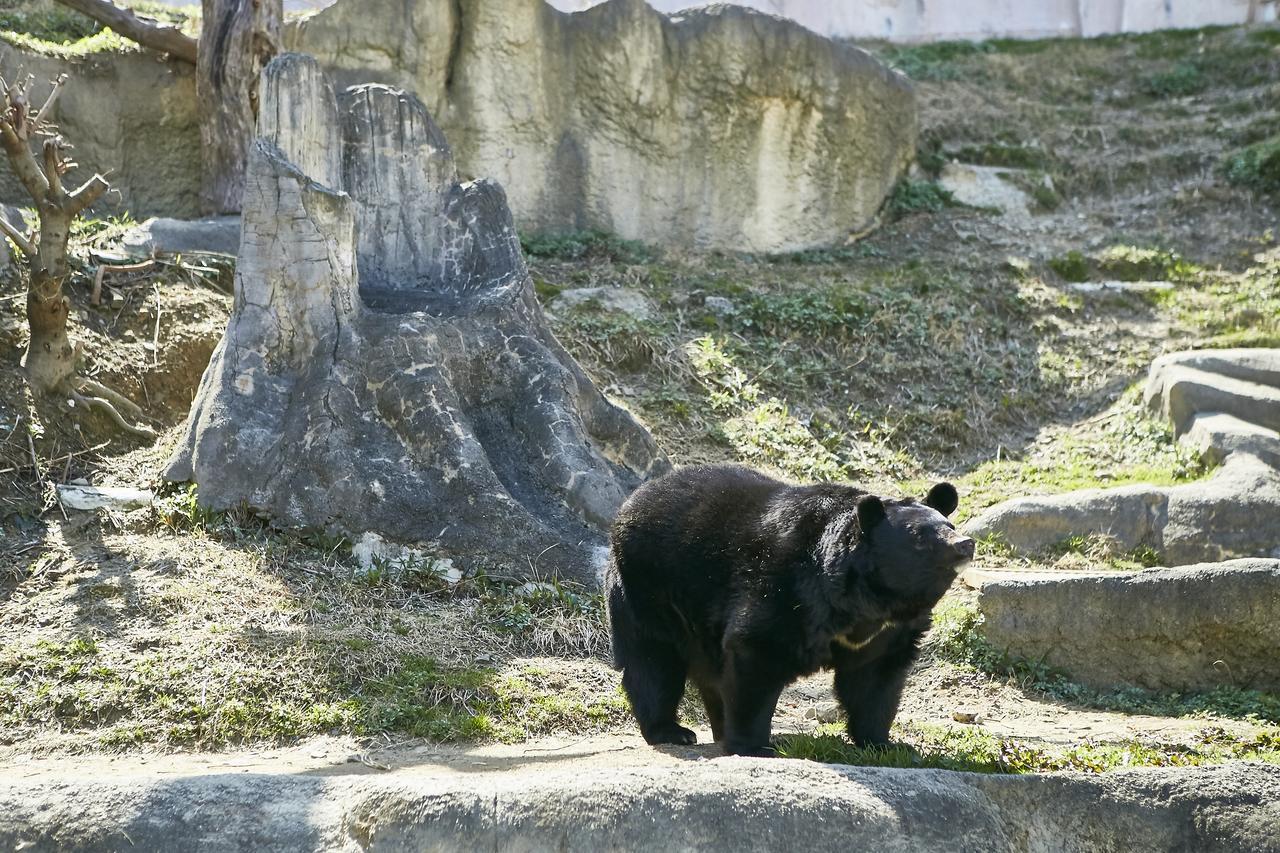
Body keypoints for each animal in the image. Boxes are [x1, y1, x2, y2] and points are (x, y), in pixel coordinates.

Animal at [604, 461, 972, 753]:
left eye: (950, 526)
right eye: (920, 536)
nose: (965, 544)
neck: (869, 603)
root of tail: (628, 504)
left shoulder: (887, 633)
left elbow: (874, 681)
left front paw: (884, 744)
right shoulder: (785, 588)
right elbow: (756, 652)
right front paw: (753, 746)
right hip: (649, 592)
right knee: (654, 663)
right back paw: (673, 731)